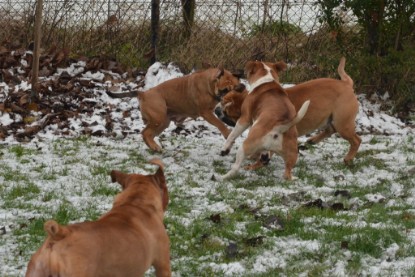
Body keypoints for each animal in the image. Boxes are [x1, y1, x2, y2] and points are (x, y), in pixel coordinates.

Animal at [106, 67, 240, 152]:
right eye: (225, 88)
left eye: (236, 86)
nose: (240, 88)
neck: (210, 84)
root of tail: (143, 94)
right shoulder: (206, 113)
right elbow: (220, 124)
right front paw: (227, 134)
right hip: (158, 119)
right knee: (145, 133)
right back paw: (155, 147)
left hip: (163, 122)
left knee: (147, 134)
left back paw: (154, 147)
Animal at [216, 57, 362, 167]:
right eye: (223, 99)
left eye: (228, 113)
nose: (217, 110)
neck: (266, 81)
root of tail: (347, 84)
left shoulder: (245, 119)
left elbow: (233, 134)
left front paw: (225, 149)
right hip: (333, 119)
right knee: (331, 129)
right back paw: (312, 140)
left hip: (343, 123)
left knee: (356, 140)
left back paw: (348, 158)